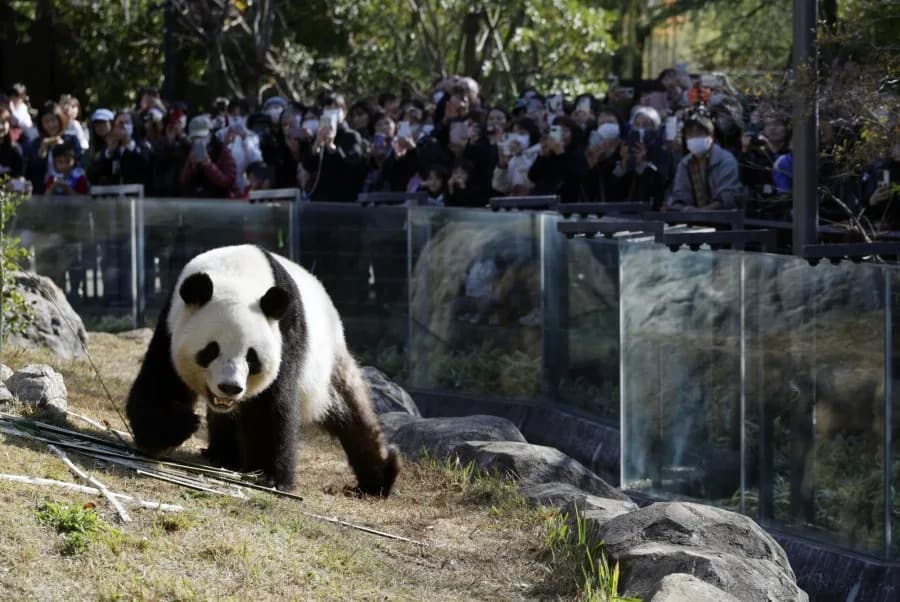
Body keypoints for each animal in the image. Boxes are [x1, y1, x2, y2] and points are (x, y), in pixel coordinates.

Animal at [125, 244, 400, 496]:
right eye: (211, 350)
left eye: (251, 356)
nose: (230, 387)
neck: (236, 274)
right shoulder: (171, 325)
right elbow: (159, 385)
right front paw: (180, 424)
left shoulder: (285, 335)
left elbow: (272, 405)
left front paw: (270, 477)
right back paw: (223, 456)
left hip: (328, 360)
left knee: (351, 412)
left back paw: (379, 479)